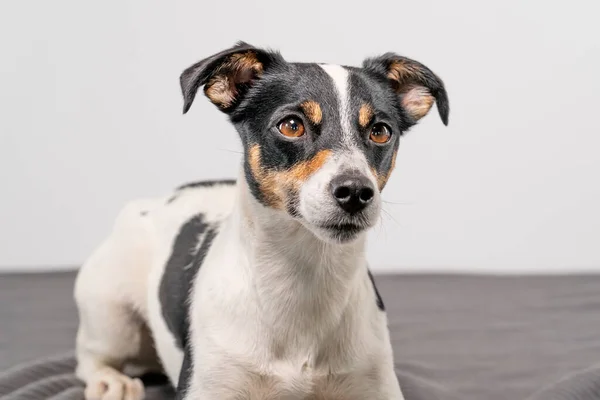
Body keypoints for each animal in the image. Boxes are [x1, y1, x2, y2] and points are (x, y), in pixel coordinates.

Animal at [74, 41, 446, 400]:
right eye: (291, 125)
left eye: (381, 132)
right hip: (111, 312)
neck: (303, 280)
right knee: (90, 357)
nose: (356, 191)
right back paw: (111, 382)